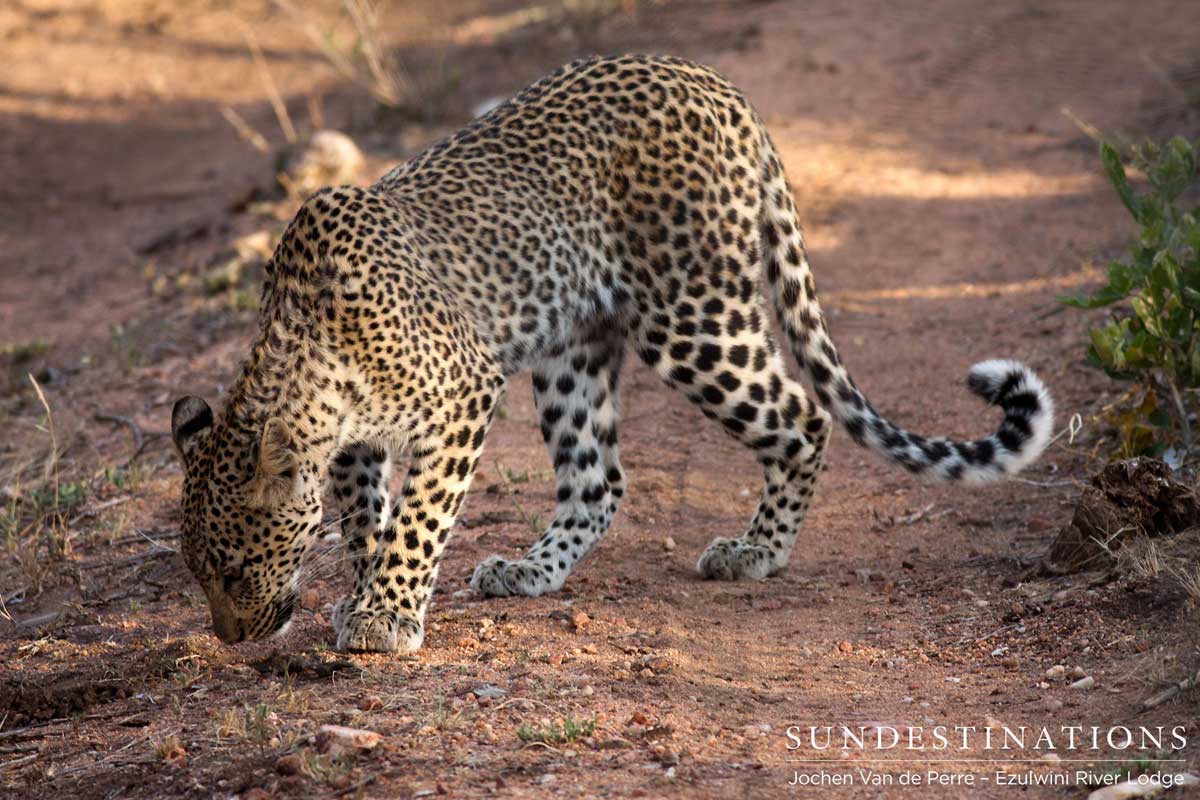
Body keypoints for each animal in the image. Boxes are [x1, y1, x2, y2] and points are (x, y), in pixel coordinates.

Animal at [171, 54, 1054, 652]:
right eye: (202, 576)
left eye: (235, 570)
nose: (230, 636)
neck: (304, 360)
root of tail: (720, 87)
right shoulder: (359, 445)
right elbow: (365, 522)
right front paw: (366, 595)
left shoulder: (464, 392)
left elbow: (419, 518)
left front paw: (385, 617)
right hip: (574, 348)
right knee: (598, 481)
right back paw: (531, 570)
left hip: (694, 317)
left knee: (802, 415)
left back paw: (757, 552)